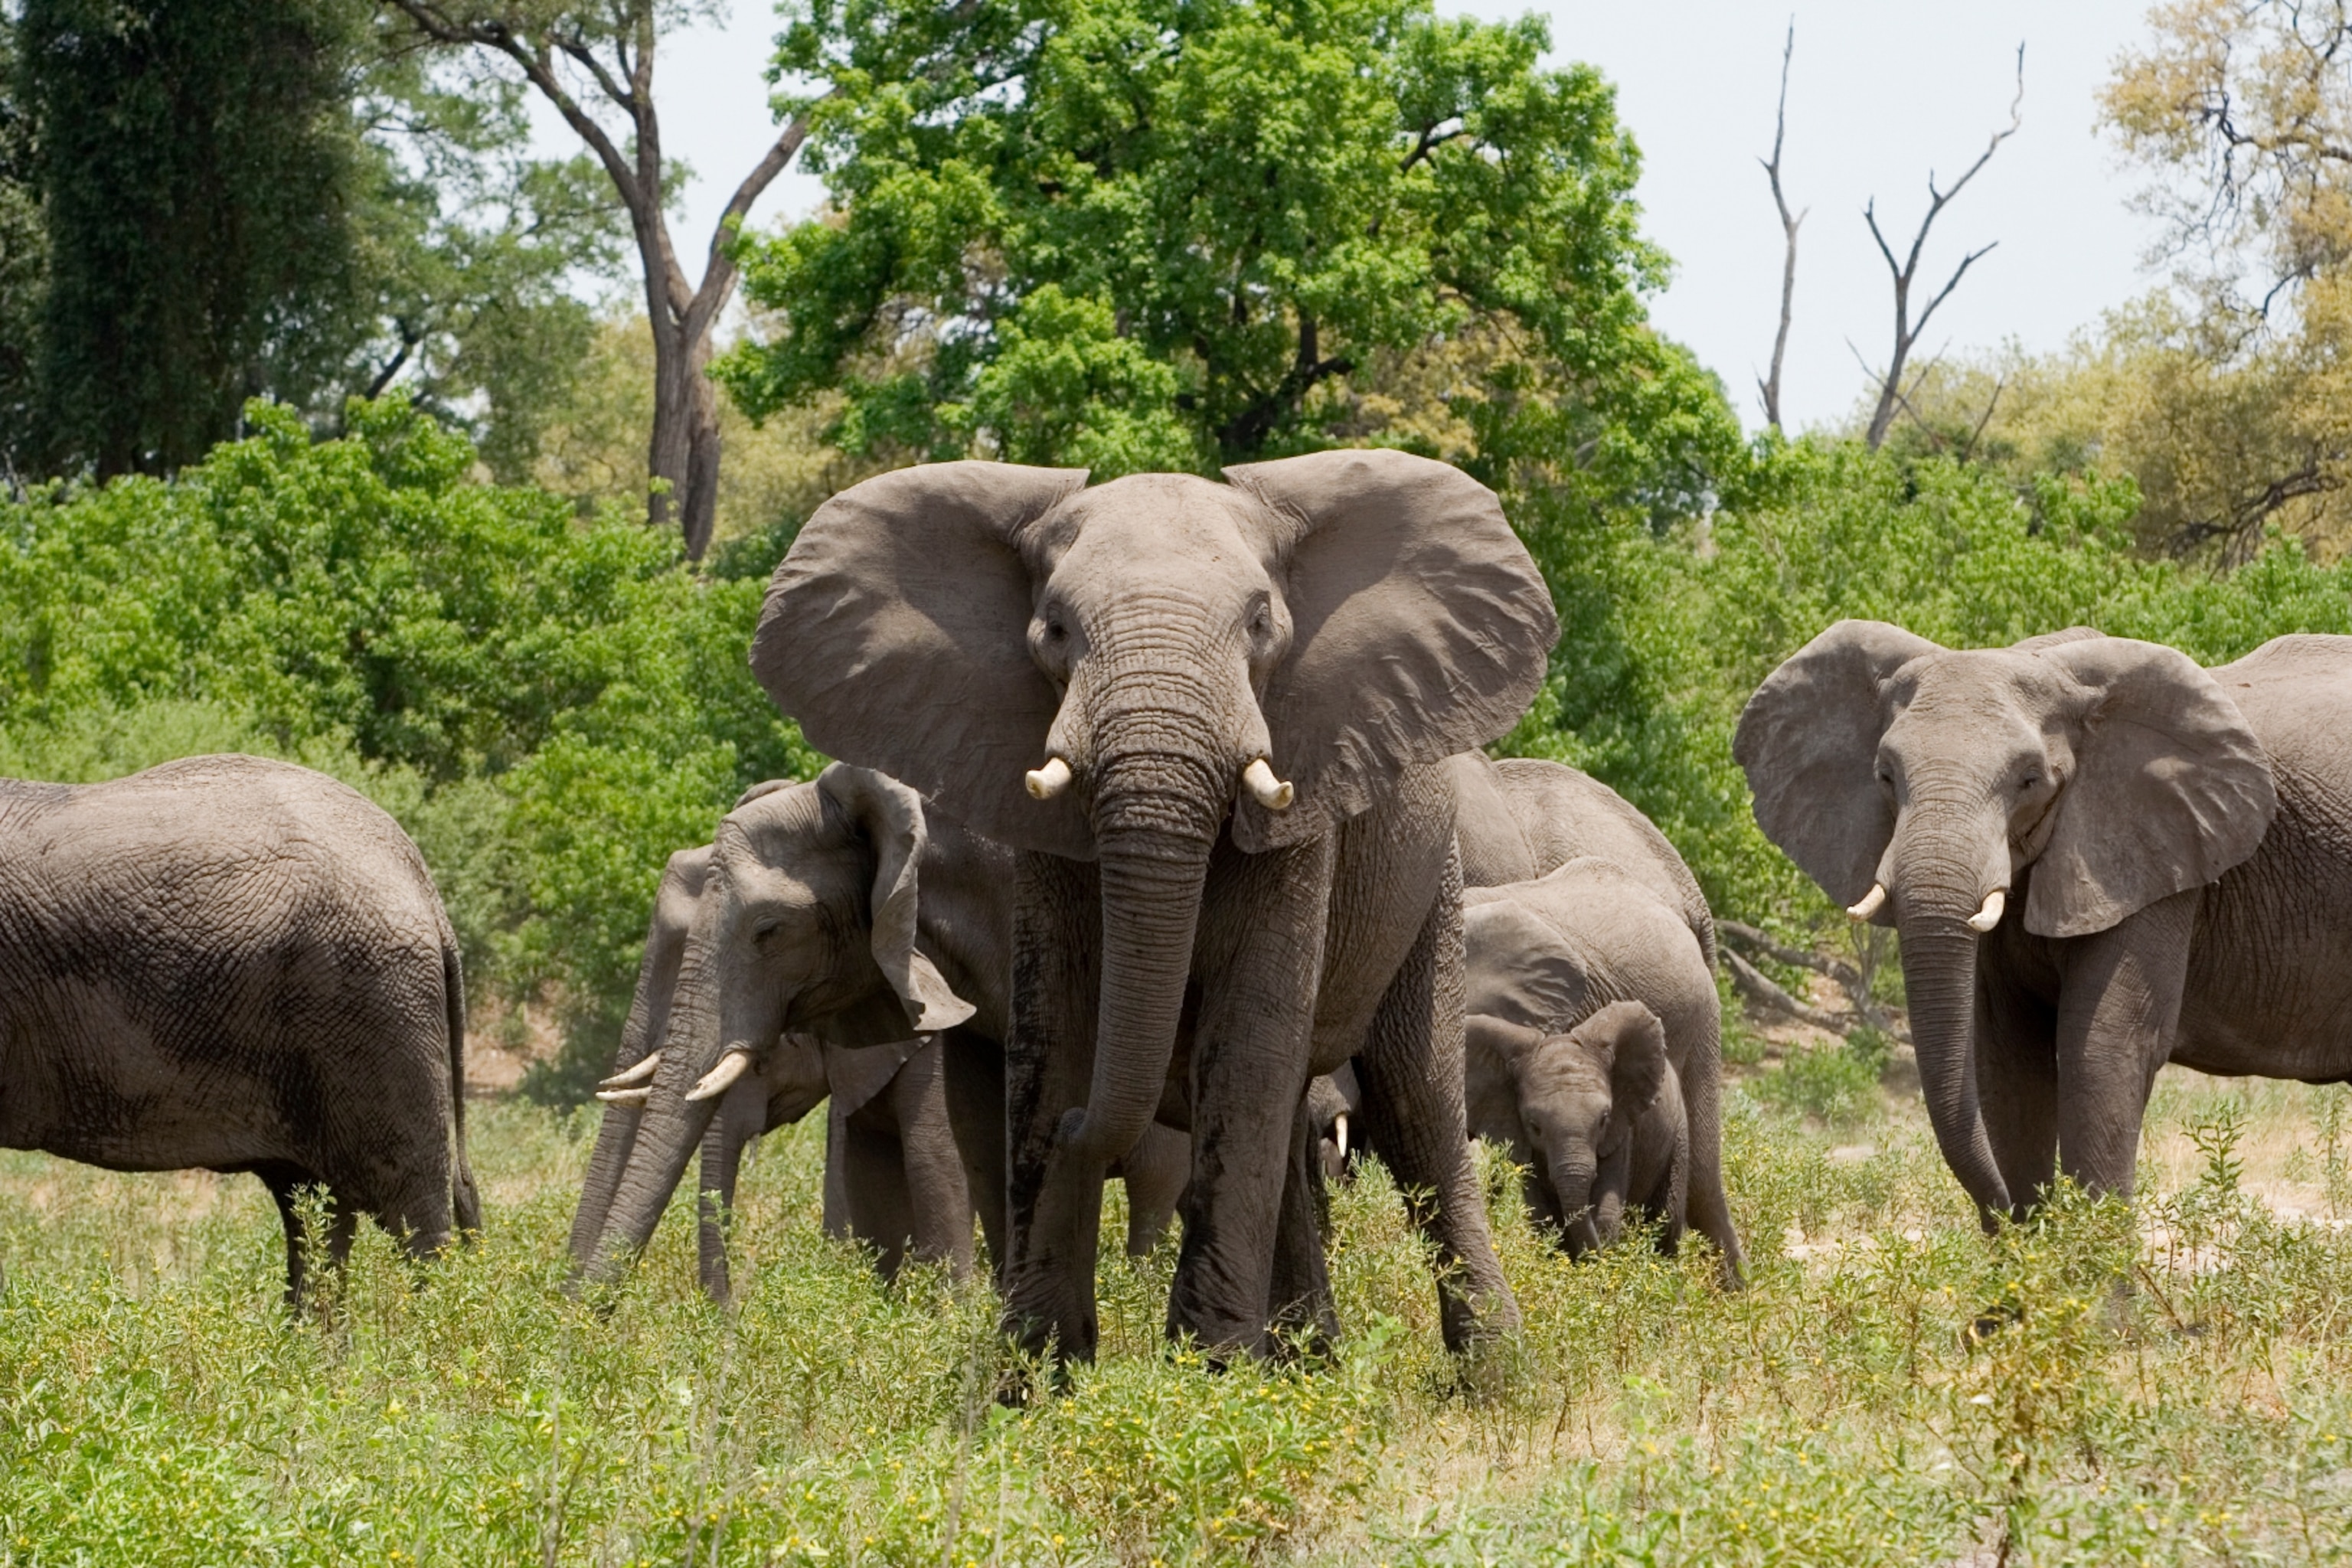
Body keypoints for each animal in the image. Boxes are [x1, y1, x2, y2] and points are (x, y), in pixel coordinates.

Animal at [751, 450, 1559, 1364]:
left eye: (1260, 624)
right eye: (1055, 630)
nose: (1076, 1131)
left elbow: (1248, 1036)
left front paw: (1203, 1373)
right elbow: (1060, 1024)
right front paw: (1036, 1372)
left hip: (1434, 885)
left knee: (1414, 1104)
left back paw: (1489, 1376)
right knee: (1290, 1117)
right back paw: (1306, 1366)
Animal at [1735, 624, 2352, 1225]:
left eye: (2030, 780)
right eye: (1885, 776)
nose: (2007, 1215)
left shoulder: (2153, 861)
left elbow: (2102, 1049)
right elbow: (2007, 1057)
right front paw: (2032, 1252)